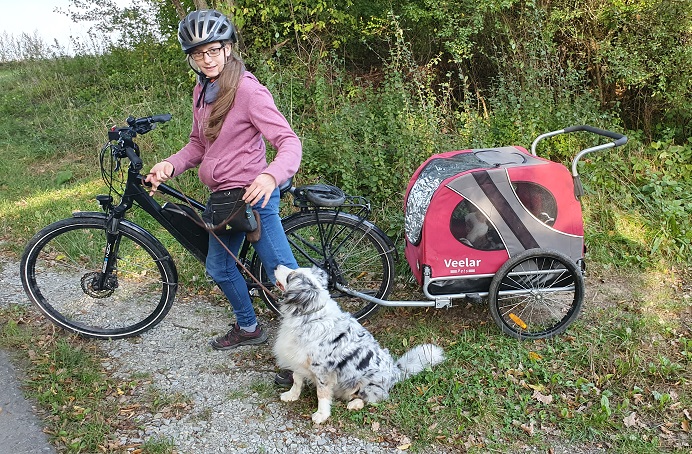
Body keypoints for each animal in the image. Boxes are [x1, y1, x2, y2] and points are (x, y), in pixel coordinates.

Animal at [272, 264, 444, 424]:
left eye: (290, 276)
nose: (276, 266)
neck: (311, 315)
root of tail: (396, 371)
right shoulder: (298, 358)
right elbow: (296, 379)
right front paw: (291, 395)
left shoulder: (322, 370)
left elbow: (322, 394)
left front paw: (321, 415)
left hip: (367, 382)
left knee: (375, 398)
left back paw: (354, 404)